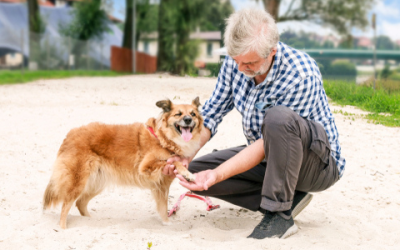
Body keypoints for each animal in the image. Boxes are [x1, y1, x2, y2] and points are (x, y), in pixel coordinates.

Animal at [43, 97, 203, 229]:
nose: (188, 120)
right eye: (178, 114)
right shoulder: (146, 167)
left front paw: (166, 223)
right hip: (78, 182)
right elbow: (175, 163)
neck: (163, 139)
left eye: (193, 114)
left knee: (80, 203)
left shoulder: (162, 185)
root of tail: (70, 134)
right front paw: (188, 174)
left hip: (96, 183)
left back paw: (91, 221)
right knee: (66, 206)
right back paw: (63, 228)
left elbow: (163, 207)